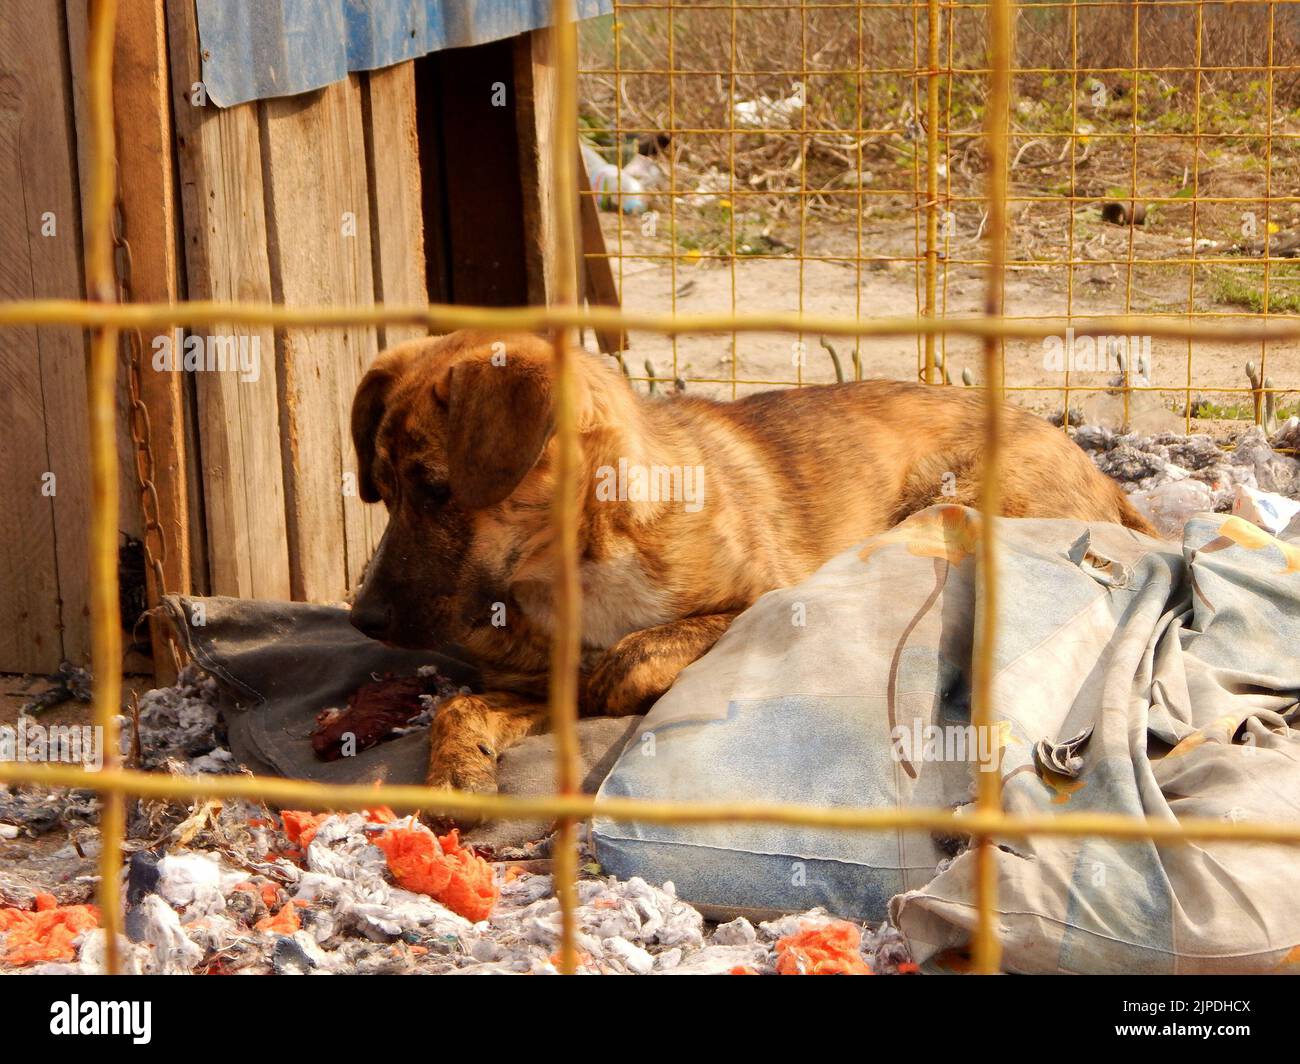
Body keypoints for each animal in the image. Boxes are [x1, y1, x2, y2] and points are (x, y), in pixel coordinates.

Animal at [351, 329, 1154, 785]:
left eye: (436, 489)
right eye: (382, 491)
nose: (362, 621)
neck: (580, 561)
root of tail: (1102, 475)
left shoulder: (758, 600)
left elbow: (631, 659)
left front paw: (619, 679)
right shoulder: (524, 677)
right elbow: (461, 705)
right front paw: (457, 768)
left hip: (942, 504)